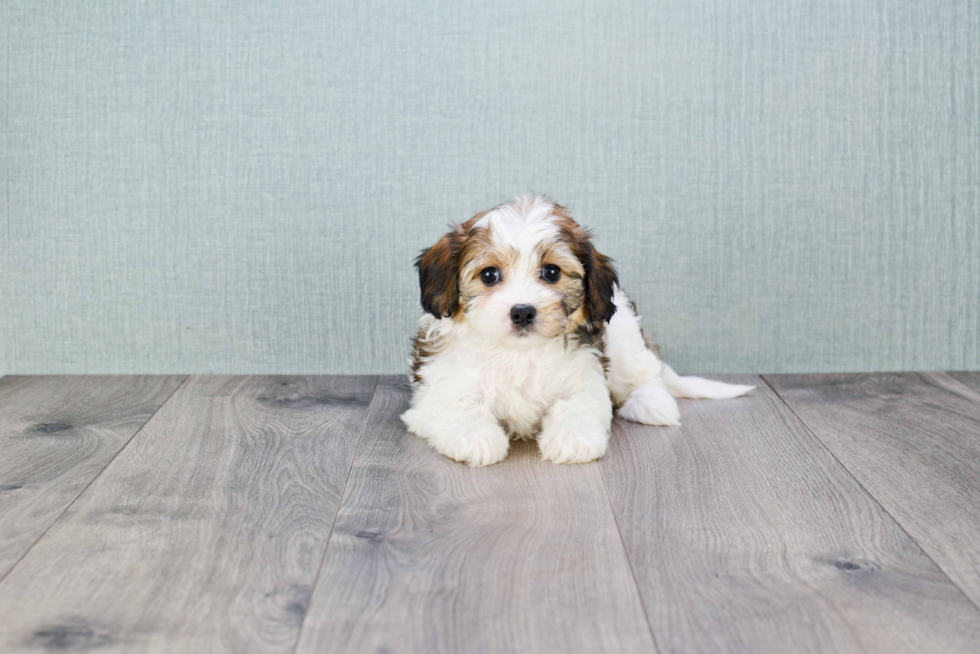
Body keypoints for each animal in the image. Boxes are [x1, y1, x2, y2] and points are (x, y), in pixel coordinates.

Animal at [402, 195, 756, 466]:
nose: (522, 311)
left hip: (625, 335)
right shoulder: (442, 386)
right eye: (489, 274)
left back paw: (652, 404)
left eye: (551, 272)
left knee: (647, 373)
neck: (518, 352)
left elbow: (577, 407)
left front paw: (572, 438)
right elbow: (458, 406)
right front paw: (474, 436)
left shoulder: (585, 378)